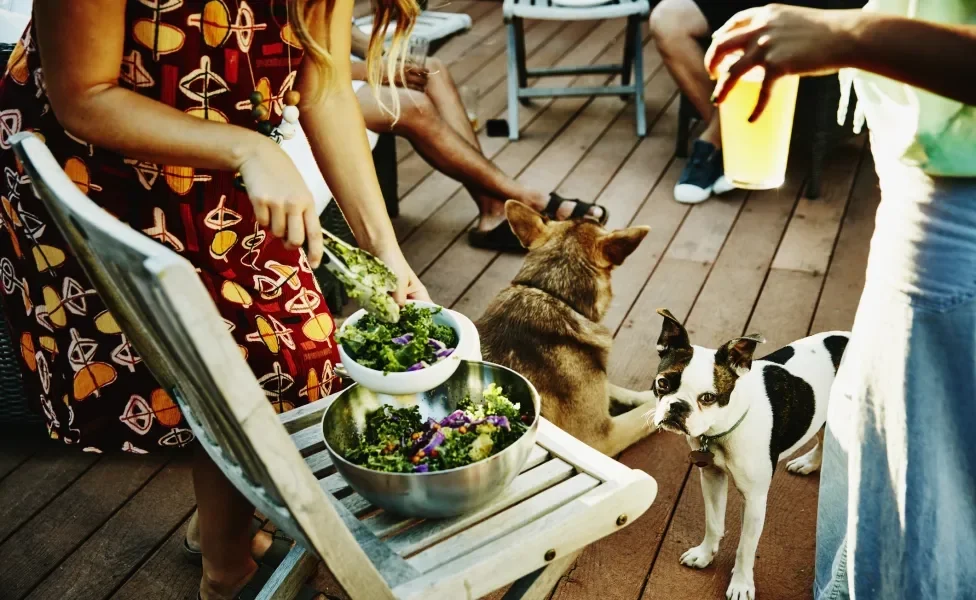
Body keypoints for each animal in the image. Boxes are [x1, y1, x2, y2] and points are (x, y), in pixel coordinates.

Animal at [652, 310, 852, 600]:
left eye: (708, 397)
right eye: (663, 382)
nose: (677, 406)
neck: (720, 430)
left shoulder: (755, 499)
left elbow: (746, 547)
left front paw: (741, 585)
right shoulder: (712, 478)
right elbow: (714, 523)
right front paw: (705, 554)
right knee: (824, 440)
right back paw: (808, 463)